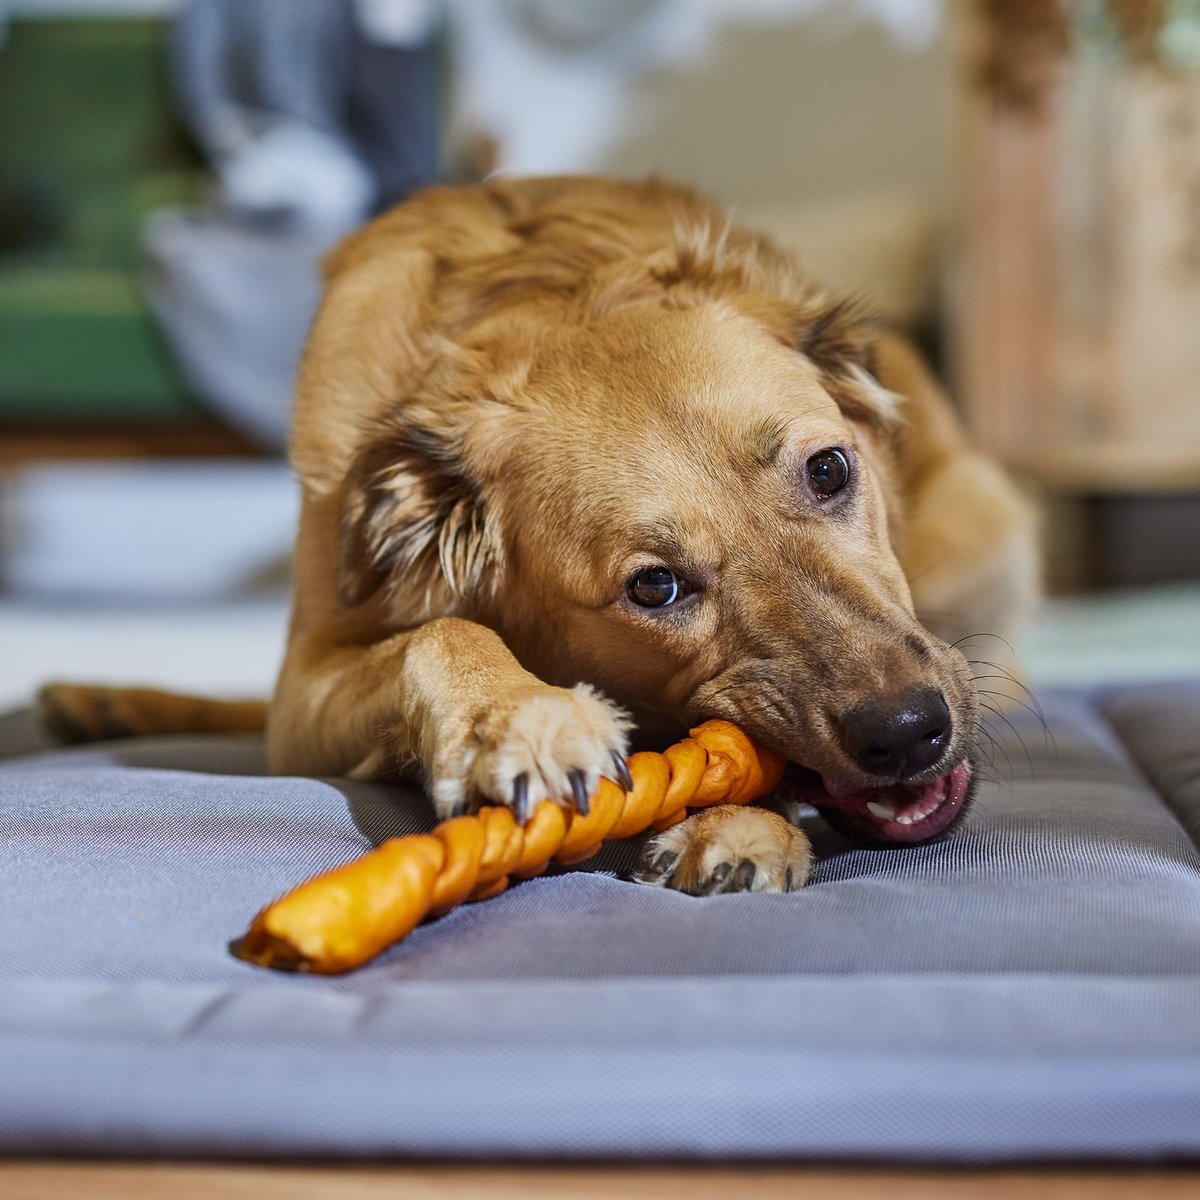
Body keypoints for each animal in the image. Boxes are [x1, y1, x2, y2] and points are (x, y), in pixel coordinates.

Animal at [42, 175, 1036, 892]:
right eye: (654, 587)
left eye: (828, 470)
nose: (908, 733)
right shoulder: (312, 675)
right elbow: (437, 632)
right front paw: (519, 718)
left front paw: (738, 828)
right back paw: (106, 703)